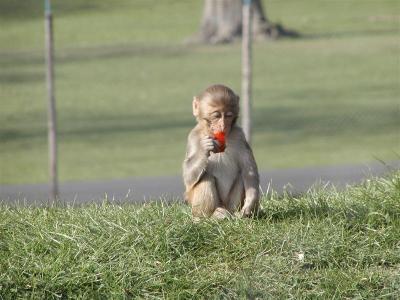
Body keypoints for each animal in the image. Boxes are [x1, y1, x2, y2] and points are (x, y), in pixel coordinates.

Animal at [182, 83, 260, 219]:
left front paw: (250, 204)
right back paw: (208, 216)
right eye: (216, 116)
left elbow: (249, 171)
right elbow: (188, 177)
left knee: (241, 175)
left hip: (229, 204)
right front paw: (205, 148)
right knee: (206, 178)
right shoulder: (193, 137)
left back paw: (234, 215)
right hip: (195, 206)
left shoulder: (239, 135)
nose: (223, 125)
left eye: (228, 115)